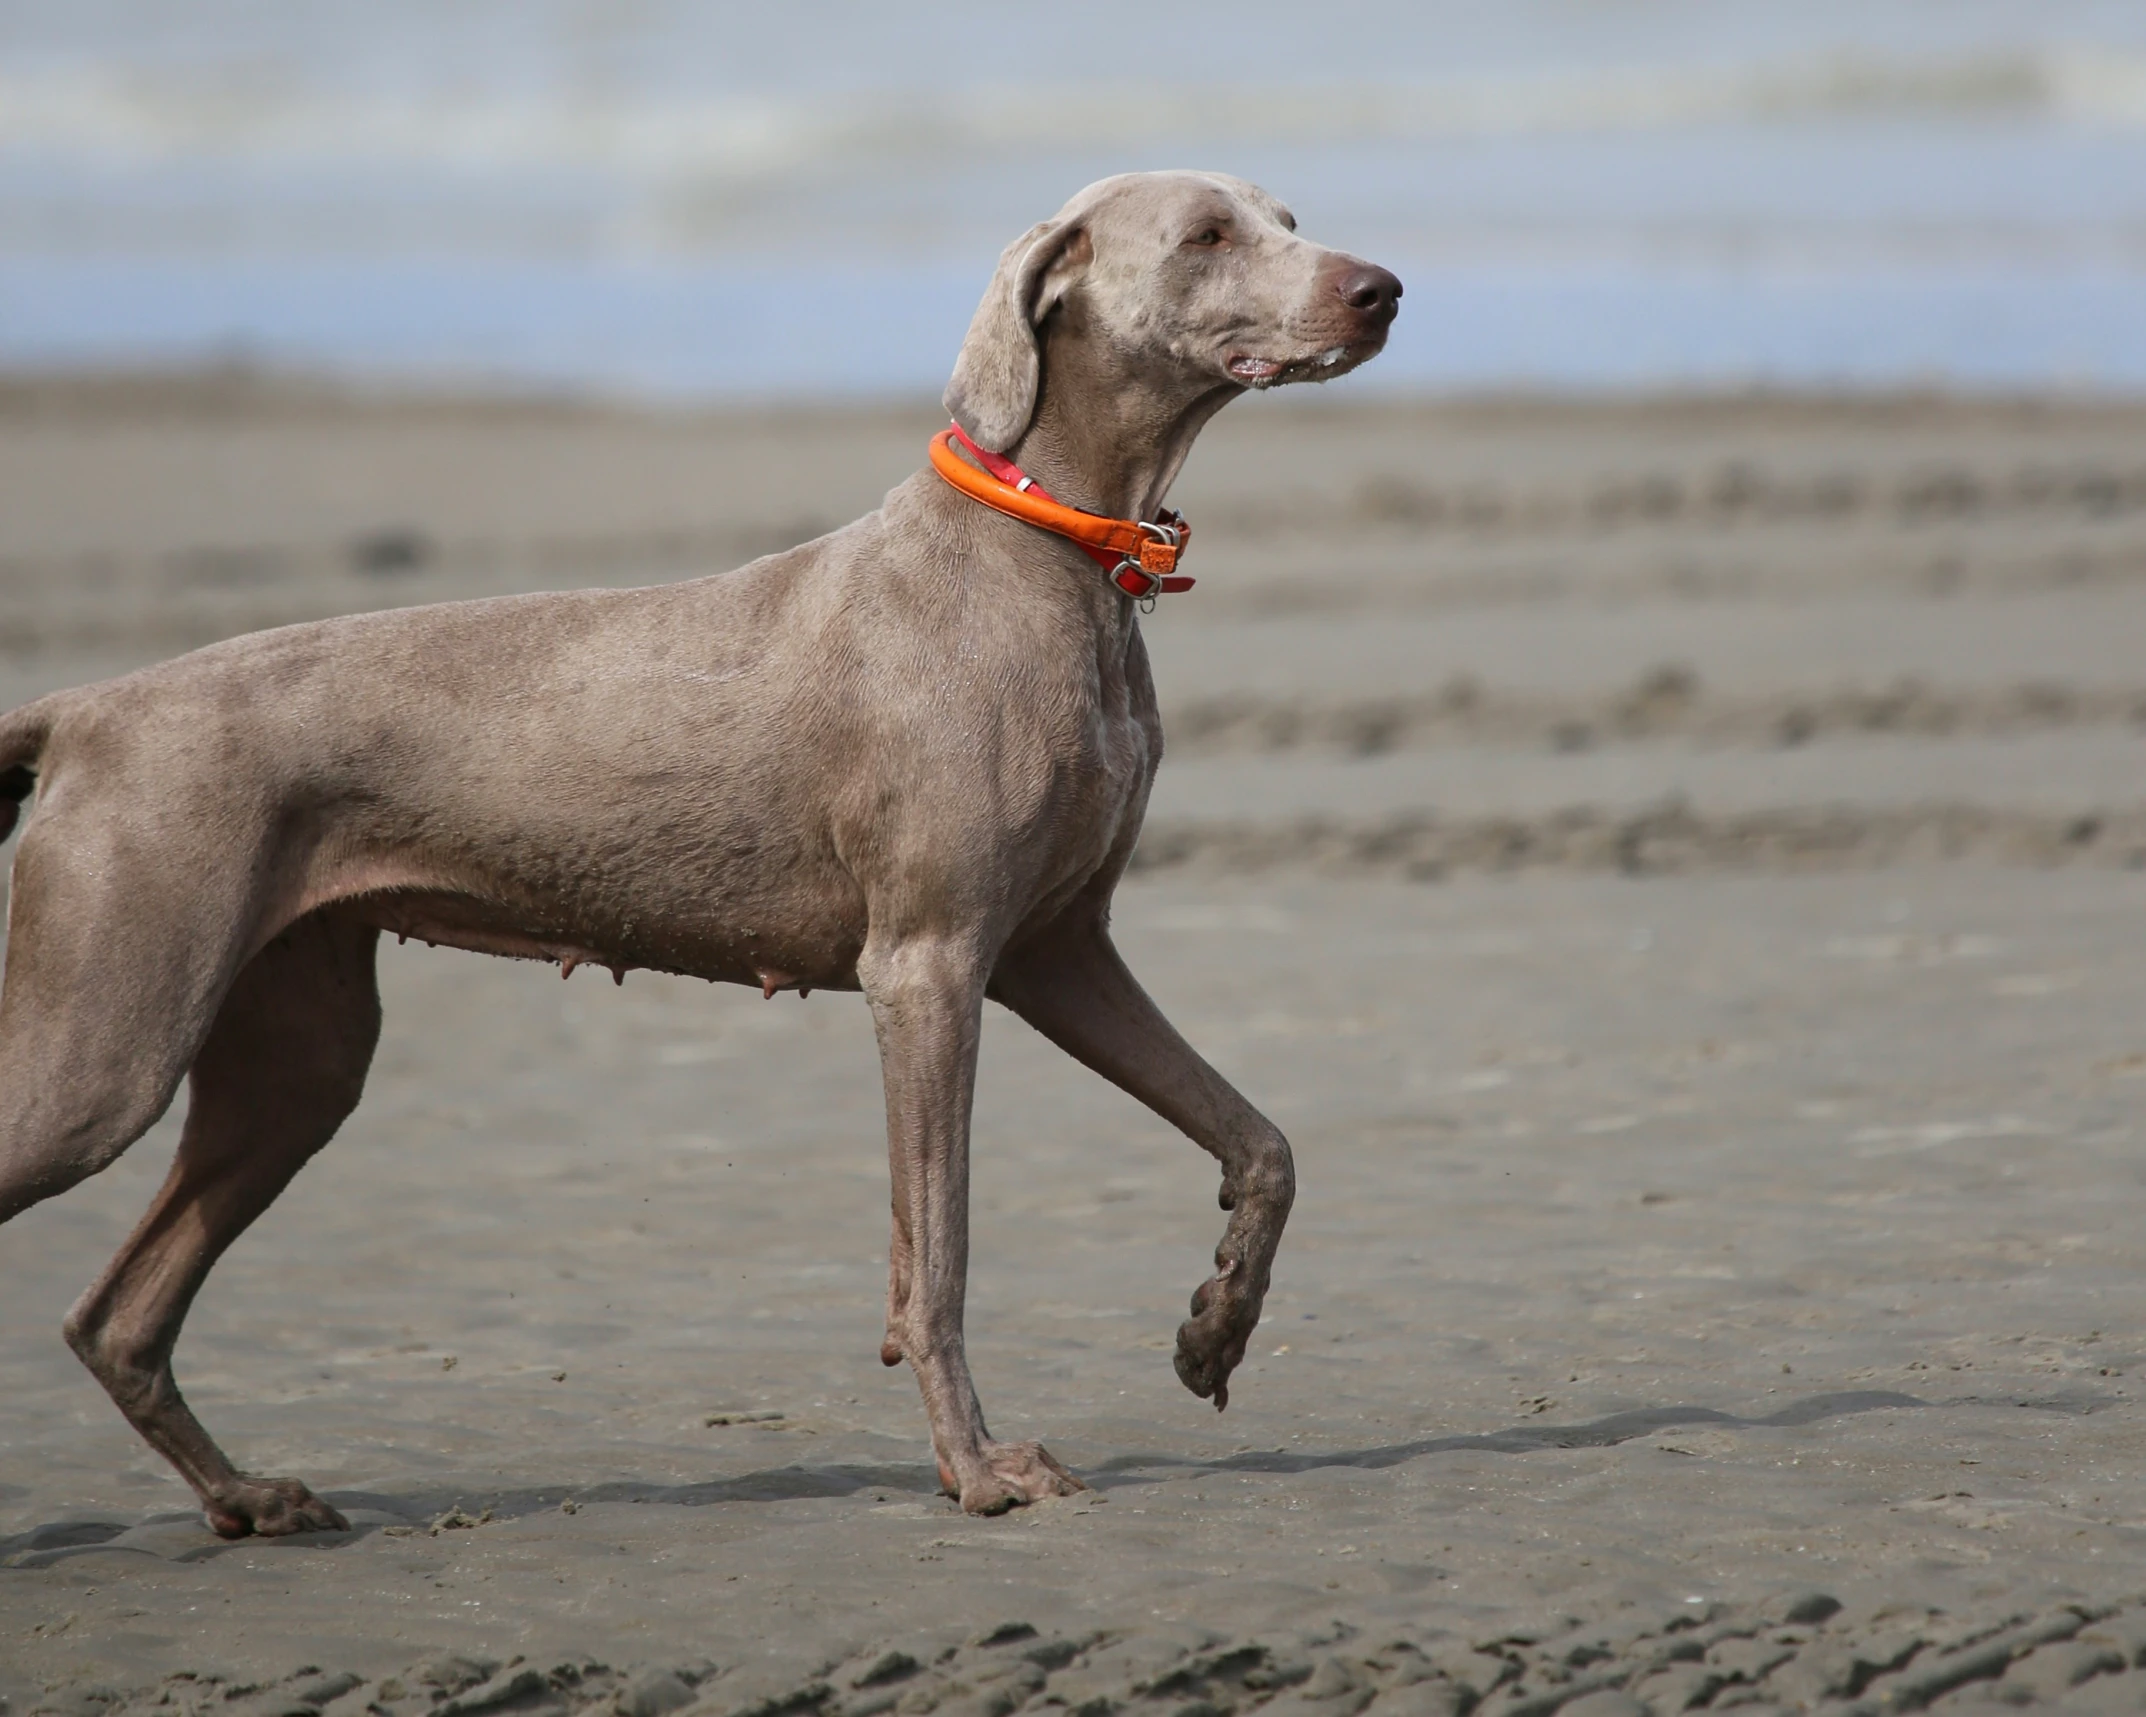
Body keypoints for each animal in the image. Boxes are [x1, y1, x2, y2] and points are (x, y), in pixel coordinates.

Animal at [0, 170, 1399, 1528]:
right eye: (1207, 233)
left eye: (1286, 218)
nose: (1381, 288)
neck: (1043, 543)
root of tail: (82, 708)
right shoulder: (929, 963)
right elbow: (936, 1254)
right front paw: (980, 1470)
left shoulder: (1058, 953)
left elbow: (1262, 1144)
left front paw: (1216, 1325)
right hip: (106, 1043)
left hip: (295, 1056)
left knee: (117, 1314)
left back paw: (248, 1497)